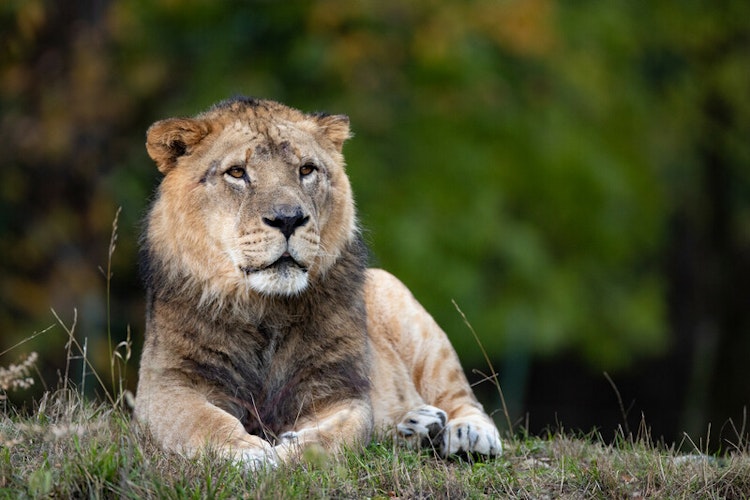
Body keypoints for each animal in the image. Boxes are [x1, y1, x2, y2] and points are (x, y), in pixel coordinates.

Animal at [135, 97, 502, 468]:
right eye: (237, 172)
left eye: (306, 170)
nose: (288, 219)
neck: (265, 309)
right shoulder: (167, 383)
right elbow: (201, 421)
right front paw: (245, 453)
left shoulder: (339, 389)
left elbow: (336, 436)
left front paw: (287, 454)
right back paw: (419, 426)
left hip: (402, 303)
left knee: (460, 395)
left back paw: (468, 434)